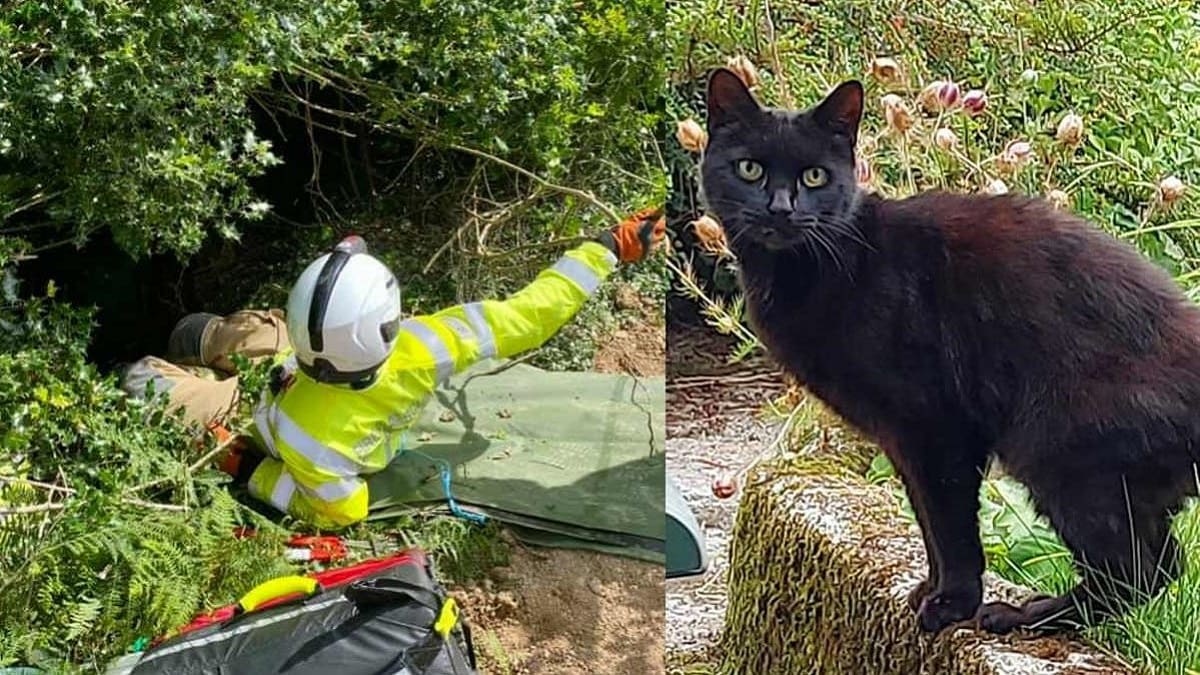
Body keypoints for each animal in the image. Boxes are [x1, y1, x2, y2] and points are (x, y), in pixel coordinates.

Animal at [700, 66, 1200, 629]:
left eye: (814, 177)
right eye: (749, 169)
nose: (780, 208)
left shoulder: (934, 426)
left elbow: (950, 525)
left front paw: (952, 604)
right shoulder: (901, 440)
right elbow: (927, 521)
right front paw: (929, 590)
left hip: (1059, 454)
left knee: (1141, 569)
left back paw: (1029, 615)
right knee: (1161, 562)